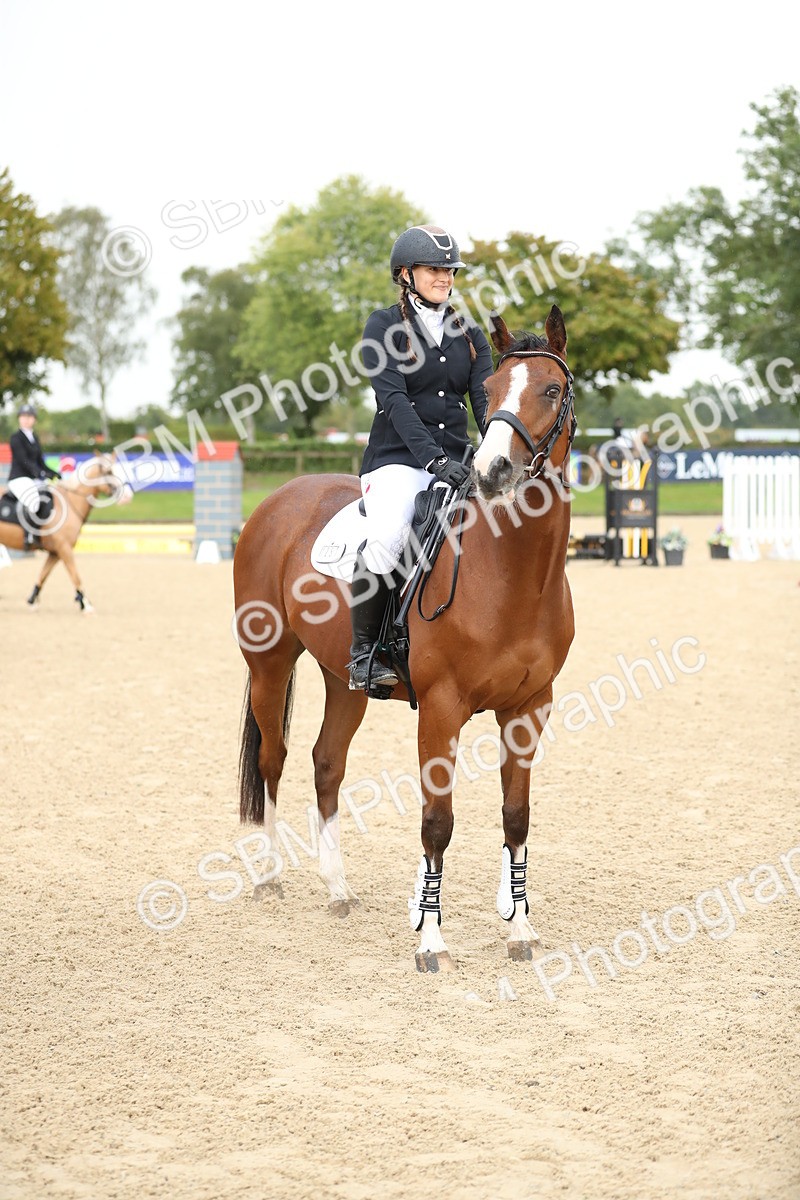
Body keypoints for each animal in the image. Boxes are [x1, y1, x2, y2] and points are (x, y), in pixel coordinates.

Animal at [0, 453, 128, 612]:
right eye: (109, 472)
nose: (126, 496)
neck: (69, 502)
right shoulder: (65, 548)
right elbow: (75, 576)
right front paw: (85, 604)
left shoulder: (55, 552)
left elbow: (43, 575)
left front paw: (33, 601)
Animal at [233, 305, 576, 971]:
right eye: (492, 388)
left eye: (550, 390)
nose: (491, 472)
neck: (513, 573)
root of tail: (279, 499)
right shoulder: (441, 709)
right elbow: (437, 822)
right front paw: (431, 939)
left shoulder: (529, 707)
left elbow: (516, 818)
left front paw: (520, 929)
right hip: (269, 663)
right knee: (272, 760)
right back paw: (269, 877)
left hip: (344, 682)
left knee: (326, 765)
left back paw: (337, 889)